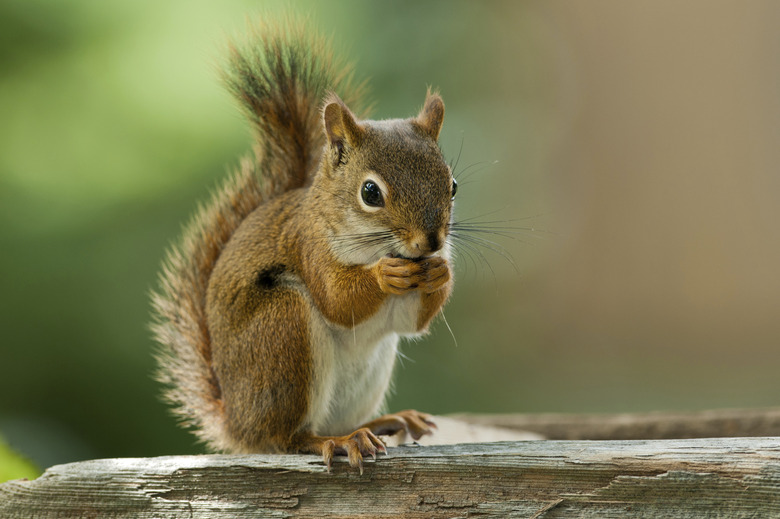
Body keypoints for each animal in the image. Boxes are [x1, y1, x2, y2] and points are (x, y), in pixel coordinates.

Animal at [151, 21, 458, 476]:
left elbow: (410, 322)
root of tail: (237, 424)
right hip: (283, 330)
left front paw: (441, 271)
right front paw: (384, 275)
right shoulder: (309, 246)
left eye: (452, 185)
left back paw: (384, 423)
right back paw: (338, 441)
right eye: (370, 192)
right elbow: (337, 298)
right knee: (289, 439)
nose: (432, 241)